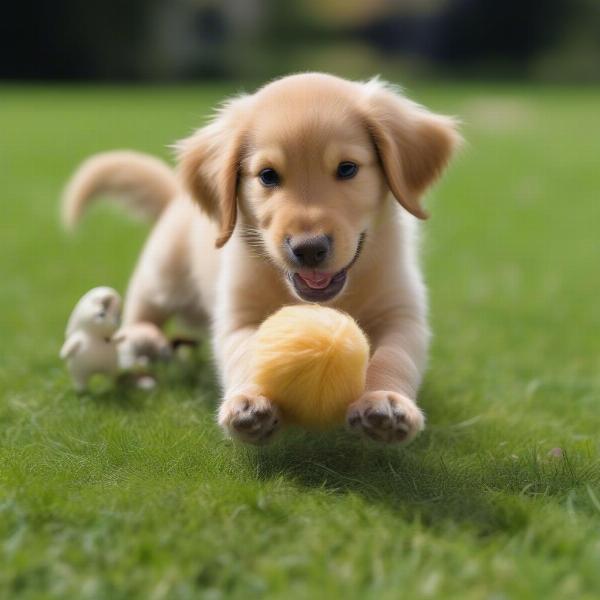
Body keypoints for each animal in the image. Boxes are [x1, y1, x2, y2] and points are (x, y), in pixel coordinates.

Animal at [63, 72, 462, 442]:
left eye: (347, 168)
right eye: (268, 176)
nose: (309, 248)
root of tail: (177, 197)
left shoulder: (402, 314)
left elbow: (395, 356)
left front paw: (384, 402)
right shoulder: (239, 316)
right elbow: (248, 353)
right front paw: (249, 402)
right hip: (163, 272)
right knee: (141, 307)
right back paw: (143, 344)